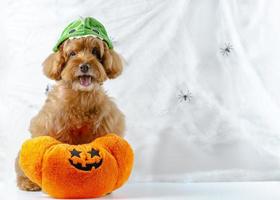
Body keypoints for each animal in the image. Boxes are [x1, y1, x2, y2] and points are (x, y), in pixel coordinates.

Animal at [15, 36, 124, 191]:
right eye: (72, 53)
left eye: (95, 52)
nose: (84, 66)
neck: (81, 97)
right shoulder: (54, 127)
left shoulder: (105, 125)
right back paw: (28, 183)